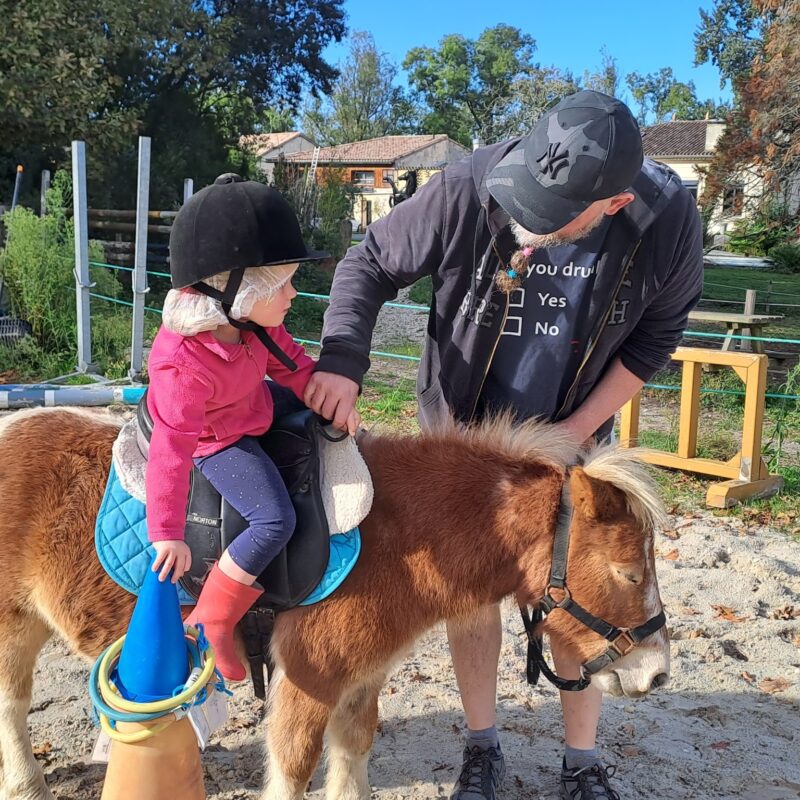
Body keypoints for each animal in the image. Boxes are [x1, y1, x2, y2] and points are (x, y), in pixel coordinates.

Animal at [0, 410, 668, 796]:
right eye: (629, 572)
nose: (658, 673)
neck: (399, 537)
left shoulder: (361, 680)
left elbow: (352, 756)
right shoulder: (308, 681)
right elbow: (295, 766)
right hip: (13, 627)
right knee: (13, 705)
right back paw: (27, 784)